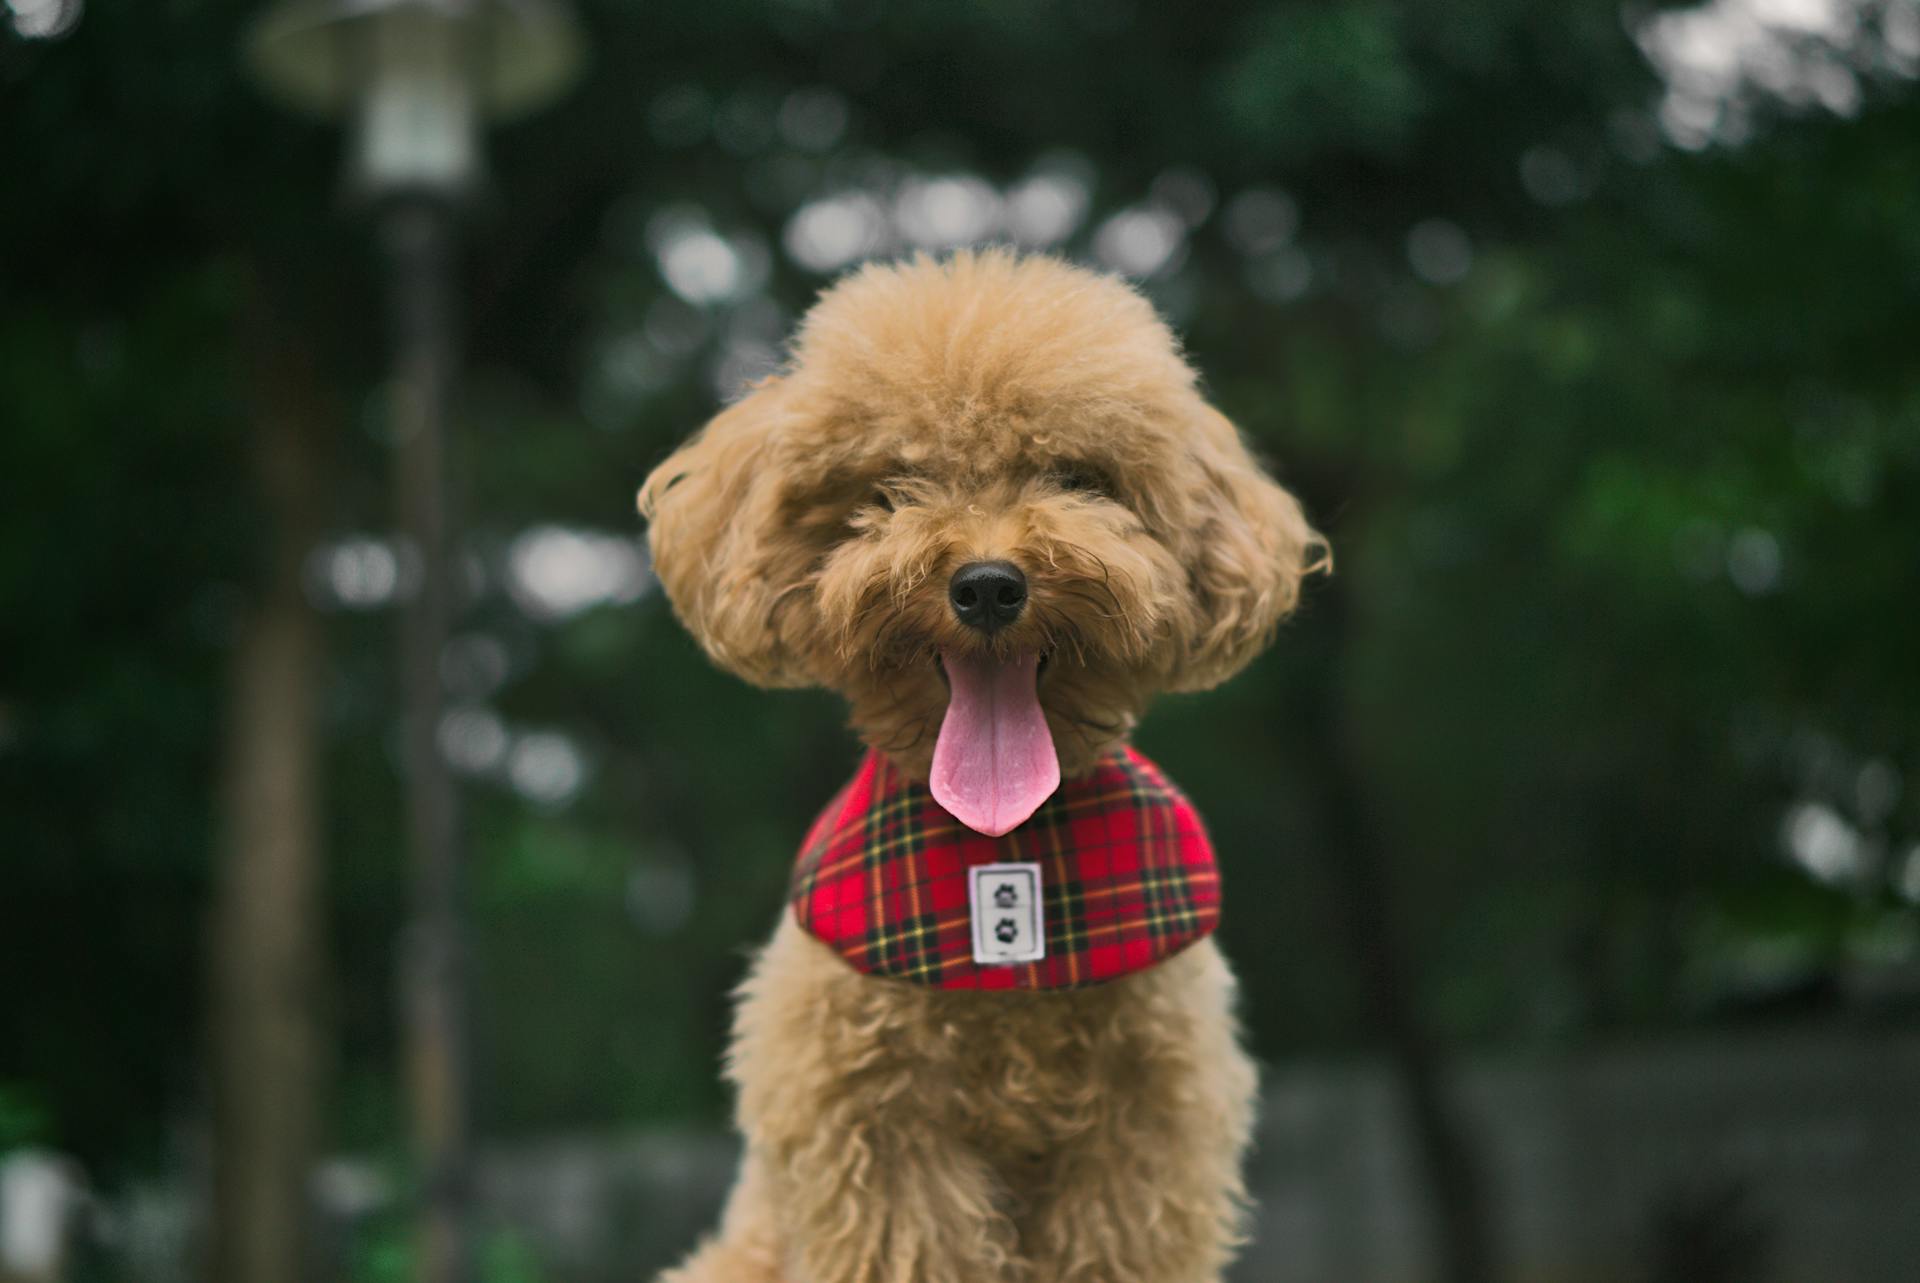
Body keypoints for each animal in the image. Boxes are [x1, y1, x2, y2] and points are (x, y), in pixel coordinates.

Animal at [637, 249, 1328, 1283]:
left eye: (1078, 477)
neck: (1006, 846)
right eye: (893, 484)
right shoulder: (879, 1132)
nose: (990, 585)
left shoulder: (1144, 1133)